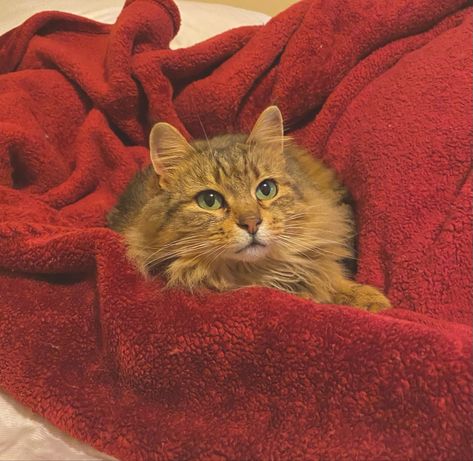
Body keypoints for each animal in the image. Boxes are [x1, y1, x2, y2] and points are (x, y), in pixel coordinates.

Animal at [108, 106, 390, 310]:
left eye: (266, 189)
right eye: (209, 200)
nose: (252, 223)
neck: (256, 271)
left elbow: (328, 276)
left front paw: (370, 300)